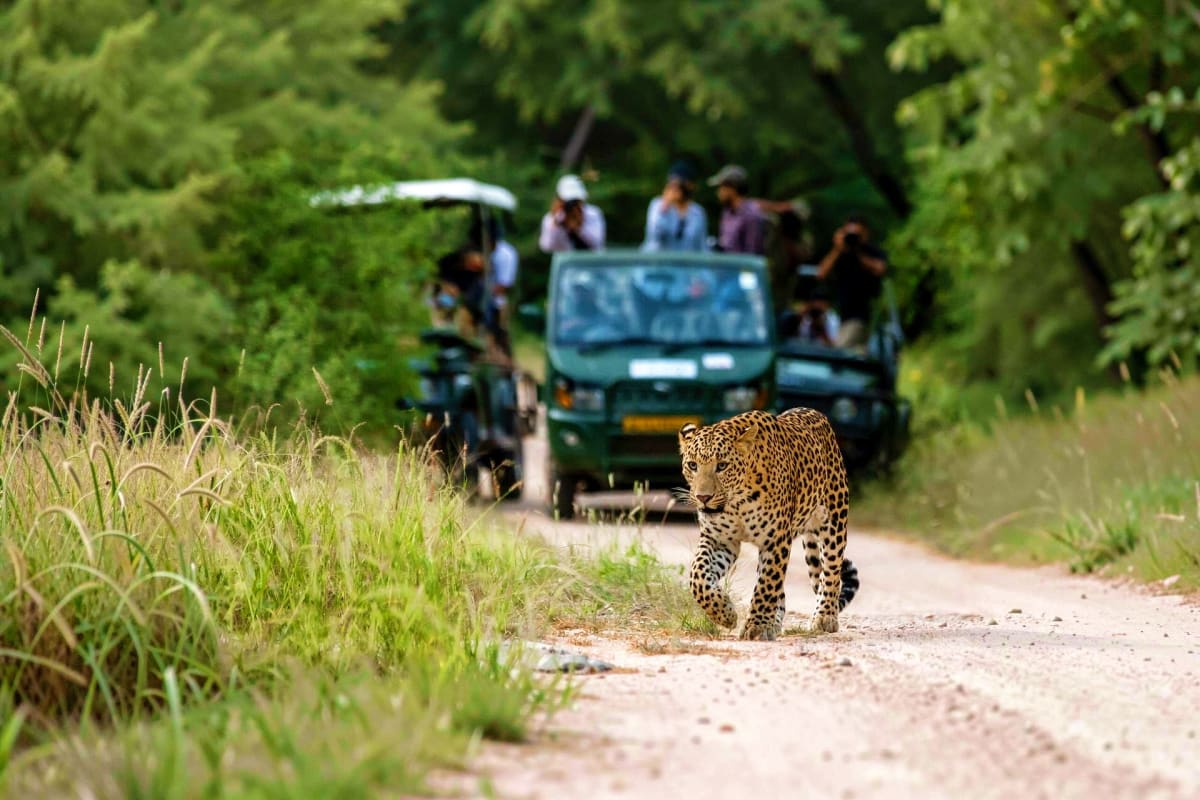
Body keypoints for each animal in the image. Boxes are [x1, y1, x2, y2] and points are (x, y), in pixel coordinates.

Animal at [678, 408, 859, 640]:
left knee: (830, 572)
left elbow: (766, 584)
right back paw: (774, 622)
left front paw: (756, 626)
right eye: (693, 465)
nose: (703, 497)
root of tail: (815, 413)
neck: (737, 502)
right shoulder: (719, 540)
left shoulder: (776, 541)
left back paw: (824, 617)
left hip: (834, 521)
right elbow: (697, 576)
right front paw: (725, 613)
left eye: (722, 466)